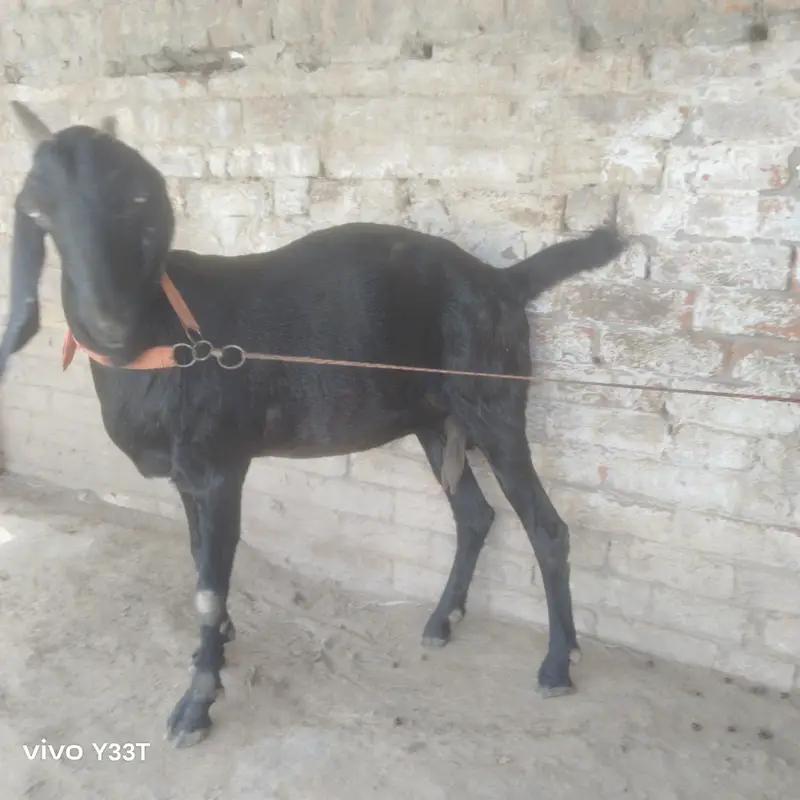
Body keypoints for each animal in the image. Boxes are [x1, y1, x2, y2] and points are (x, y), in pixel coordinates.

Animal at [0, 101, 628, 748]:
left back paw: (557, 663)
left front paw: (196, 704)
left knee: (546, 528)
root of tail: (503, 281)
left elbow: (207, 588)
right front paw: (215, 647)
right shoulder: (186, 477)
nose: (108, 321)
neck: (164, 341)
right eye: (37, 210)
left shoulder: (219, 468)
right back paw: (441, 619)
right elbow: (201, 558)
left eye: (135, 198)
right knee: (475, 515)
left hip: (494, 403)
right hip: (432, 418)